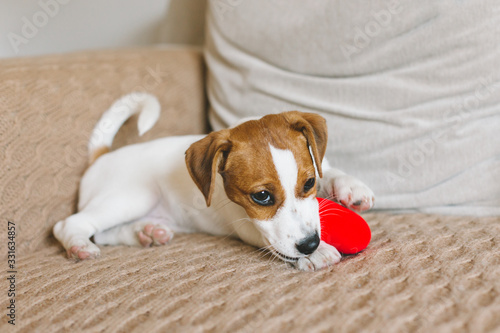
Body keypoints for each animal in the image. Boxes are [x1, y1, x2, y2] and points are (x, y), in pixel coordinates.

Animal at [54, 92, 376, 272]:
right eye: (261, 196)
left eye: (309, 183)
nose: (310, 244)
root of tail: (101, 156)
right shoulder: (246, 223)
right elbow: (272, 240)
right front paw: (318, 252)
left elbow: (328, 169)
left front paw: (350, 186)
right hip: (134, 196)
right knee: (70, 225)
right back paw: (79, 246)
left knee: (103, 233)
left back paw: (146, 233)